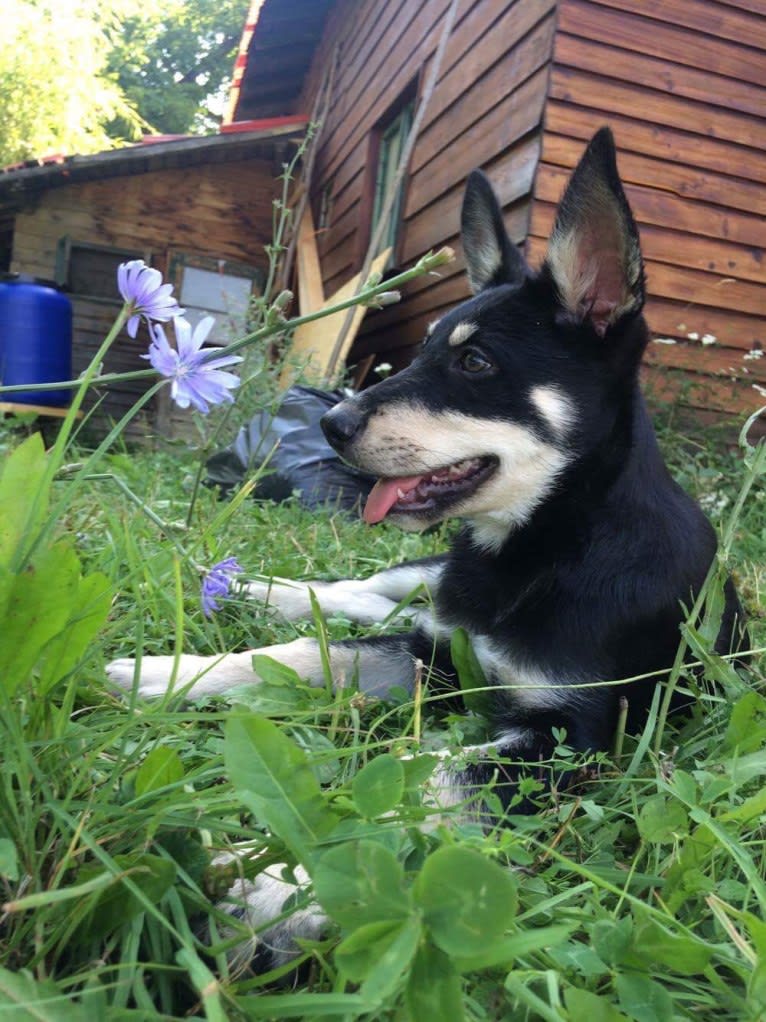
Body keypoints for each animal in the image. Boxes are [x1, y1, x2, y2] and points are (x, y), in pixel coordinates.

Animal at [106, 125, 743, 964]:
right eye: (424, 350)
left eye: (473, 361)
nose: (331, 425)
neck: (547, 547)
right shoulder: (435, 653)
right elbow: (309, 656)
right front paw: (173, 674)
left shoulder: (571, 740)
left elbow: (427, 775)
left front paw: (283, 883)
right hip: (423, 583)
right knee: (344, 598)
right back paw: (239, 592)